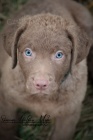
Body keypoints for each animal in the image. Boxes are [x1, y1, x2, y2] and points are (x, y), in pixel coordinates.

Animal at [0, 0, 92, 140]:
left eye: (59, 54)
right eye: (28, 52)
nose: (41, 84)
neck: (42, 99)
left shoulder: (70, 112)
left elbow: (61, 135)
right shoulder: (6, 99)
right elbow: (7, 126)